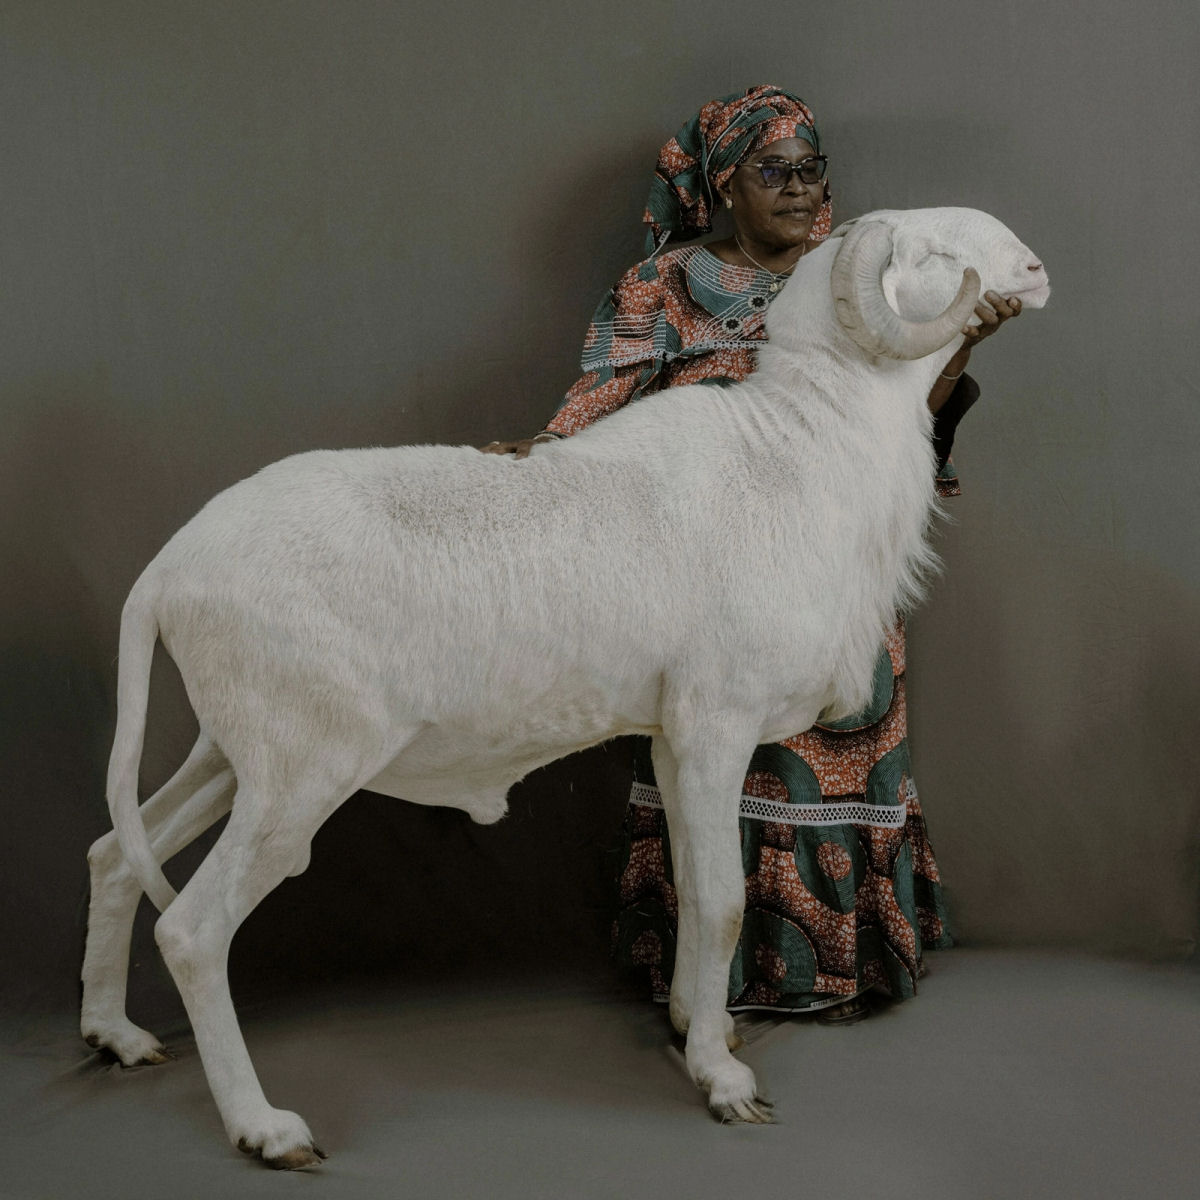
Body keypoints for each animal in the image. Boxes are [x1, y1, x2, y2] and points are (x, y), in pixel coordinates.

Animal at [79, 208, 1046, 1171]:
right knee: (191, 932)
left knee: (114, 856)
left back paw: (115, 1039)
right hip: (298, 778)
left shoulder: (673, 742)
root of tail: (165, 574)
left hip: (231, 761)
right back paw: (268, 1130)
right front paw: (724, 1083)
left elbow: (690, 889)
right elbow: (722, 901)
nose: (1032, 271)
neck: (801, 456)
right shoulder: (715, 730)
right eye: (929, 251)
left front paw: (695, 1029)